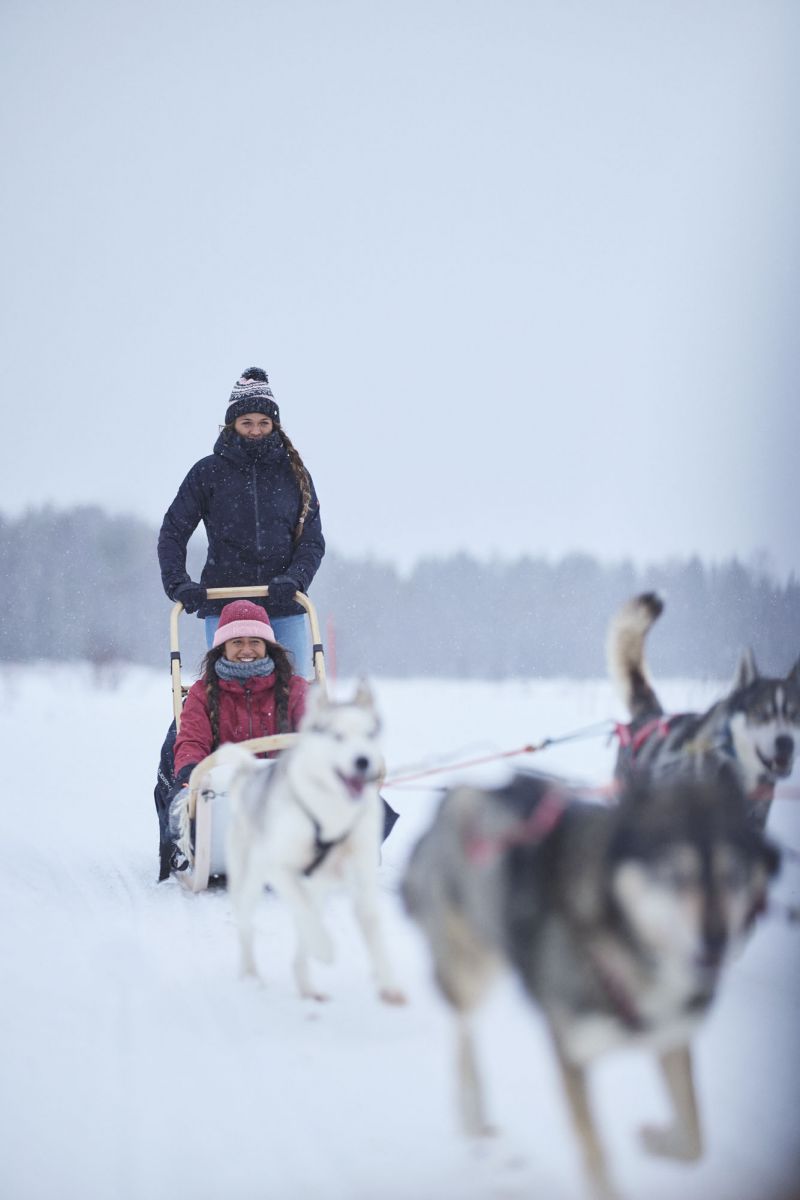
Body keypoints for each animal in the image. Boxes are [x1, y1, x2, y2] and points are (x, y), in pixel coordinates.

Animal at [224, 686, 402, 1003]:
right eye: (337, 736)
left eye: (369, 735)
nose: (363, 761)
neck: (332, 817)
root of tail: (250, 776)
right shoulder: (280, 868)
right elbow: (306, 916)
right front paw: (325, 950)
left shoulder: (359, 872)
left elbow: (368, 920)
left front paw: (387, 979)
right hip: (249, 880)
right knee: (249, 924)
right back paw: (251, 975)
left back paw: (306, 984)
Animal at [402, 768, 777, 1200]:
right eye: (674, 874)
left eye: (733, 875)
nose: (717, 943)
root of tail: (455, 797)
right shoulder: (572, 1054)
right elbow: (595, 1153)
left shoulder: (671, 1037)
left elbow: (694, 1140)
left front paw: (657, 1140)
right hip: (473, 968)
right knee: (463, 1030)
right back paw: (472, 1110)